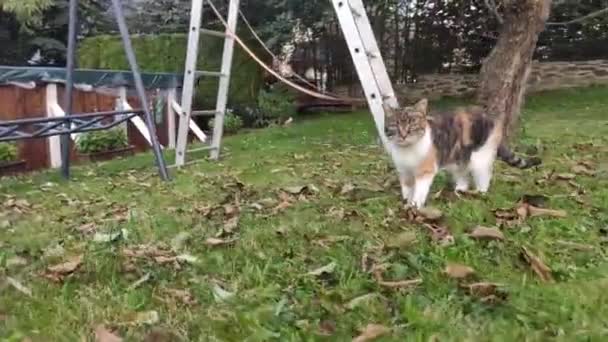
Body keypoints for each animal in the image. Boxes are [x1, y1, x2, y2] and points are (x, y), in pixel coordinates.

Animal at [384, 97, 540, 207]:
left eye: (412, 124)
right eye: (395, 125)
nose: (404, 134)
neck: (407, 149)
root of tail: (490, 115)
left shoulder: (425, 171)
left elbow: (419, 189)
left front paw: (415, 205)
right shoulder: (404, 171)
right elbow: (407, 187)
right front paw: (406, 201)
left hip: (480, 156)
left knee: (484, 175)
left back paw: (480, 193)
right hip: (458, 158)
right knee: (463, 175)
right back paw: (459, 191)